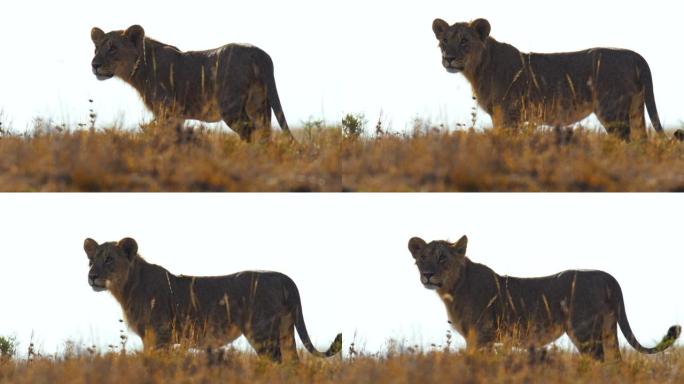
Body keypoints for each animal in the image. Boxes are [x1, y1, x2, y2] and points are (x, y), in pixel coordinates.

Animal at [85, 236, 342, 362]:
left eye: (109, 259)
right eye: (91, 260)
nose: (92, 276)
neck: (127, 287)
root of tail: (283, 277)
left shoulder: (160, 336)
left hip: (262, 333)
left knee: (277, 362)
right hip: (286, 331)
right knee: (293, 363)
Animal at [91, 25, 294, 142]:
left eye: (113, 48)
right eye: (96, 49)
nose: (94, 65)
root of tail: (260, 54)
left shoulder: (167, 110)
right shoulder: (176, 115)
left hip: (231, 107)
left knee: (250, 133)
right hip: (260, 105)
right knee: (265, 135)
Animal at [408, 234, 680, 360]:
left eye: (442, 258)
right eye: (422, 258)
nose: (428, 275)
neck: (452, 289)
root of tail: (608, 277)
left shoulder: (482, 336)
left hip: (584, 332)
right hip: (608, 329)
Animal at [432, 18, 664, 140]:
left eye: (464, 41)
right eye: (444, 41)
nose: (448, 58)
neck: (478, 69)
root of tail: (635, 55)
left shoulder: (509, 114)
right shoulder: (500, 116)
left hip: (612, 110)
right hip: (636, 109)